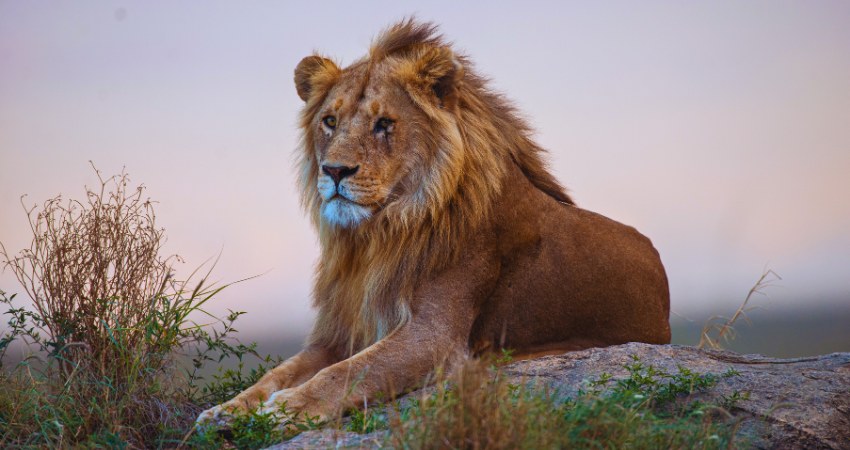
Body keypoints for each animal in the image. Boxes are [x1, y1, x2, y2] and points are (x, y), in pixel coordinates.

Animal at [197, 19, 670, 427]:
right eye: (329, 121)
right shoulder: (338, 334)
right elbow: (276, 374)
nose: (333, 171)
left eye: (384, 123)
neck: (376, 237)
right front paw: (226, 412)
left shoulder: (435, 337)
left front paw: (284, 409)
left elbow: (350, 373)